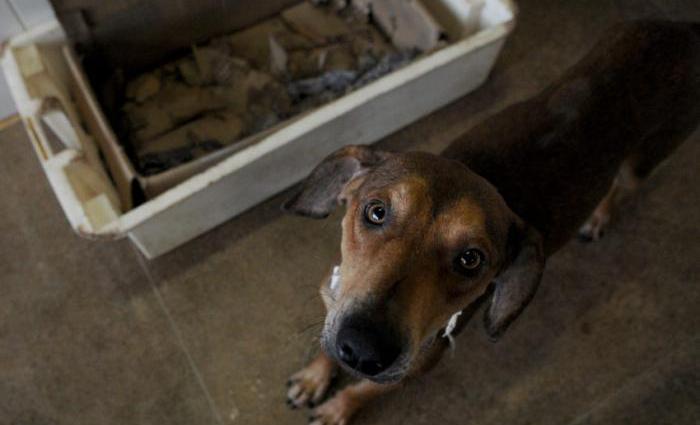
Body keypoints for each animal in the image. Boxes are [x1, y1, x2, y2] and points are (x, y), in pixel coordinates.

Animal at [282, 21, 696, 422]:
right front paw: (314, 378)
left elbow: (364, 390)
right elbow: (326, 347)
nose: (363, 350)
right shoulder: (333, 302)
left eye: (471, 259)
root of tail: (685, 27)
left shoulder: (414, 367)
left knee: (622, 186)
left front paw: (338, 408)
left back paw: (599, 218)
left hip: (645, 160)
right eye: (376, 211)